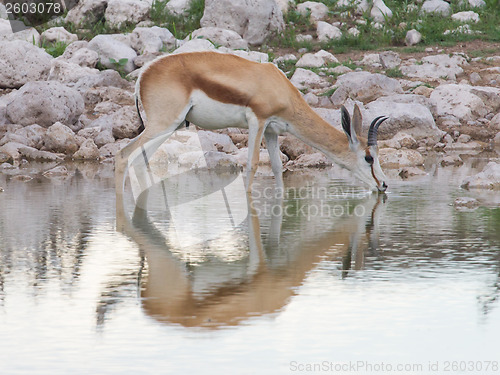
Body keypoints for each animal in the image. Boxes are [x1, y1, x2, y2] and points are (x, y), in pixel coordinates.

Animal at [114, 51, 390, 197]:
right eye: (369, 157)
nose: (384, 184)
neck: (280, 87)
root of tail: (143, 74)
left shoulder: (272, 131)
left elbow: (278, 167)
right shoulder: (257, 121)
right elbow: (252, 164)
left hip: (170, 127)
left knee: (139, 160)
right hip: (163, 124)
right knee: (123, 154)